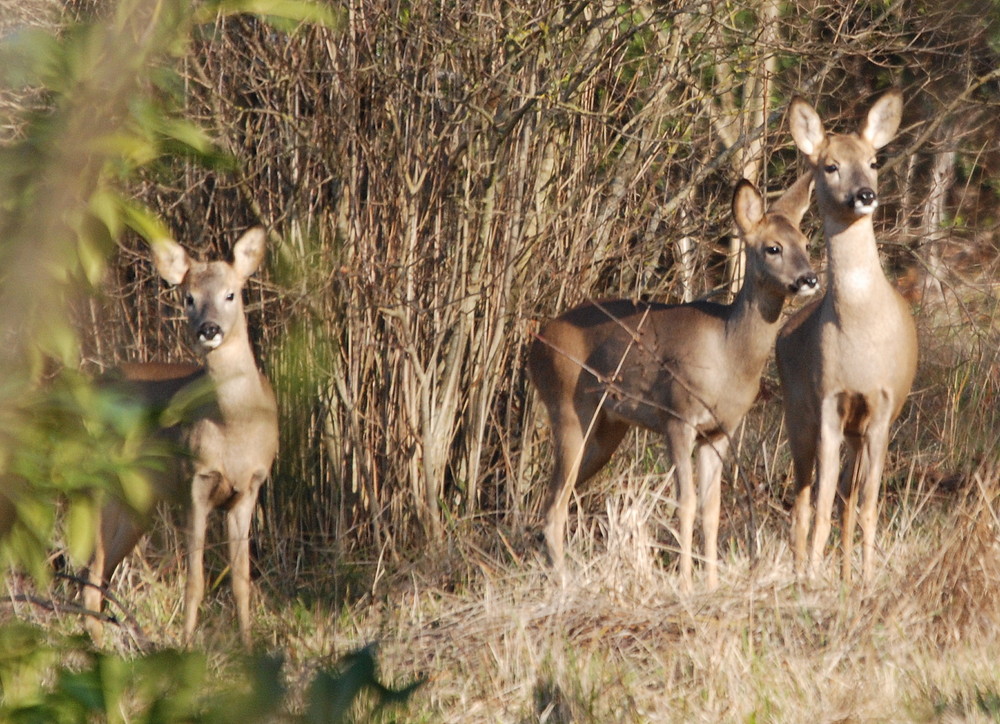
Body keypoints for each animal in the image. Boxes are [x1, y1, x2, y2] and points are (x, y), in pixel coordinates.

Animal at [84, 228, 280, 644]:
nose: (209, 329)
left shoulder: (249, 488)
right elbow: (195, 581)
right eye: (189, 298)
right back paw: (97, 640)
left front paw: (248, 644)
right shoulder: (195, 482)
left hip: (138, 500)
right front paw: (188, 644)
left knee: (101, 571)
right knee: (91, 571)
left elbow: (241, 581)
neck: (234, 427)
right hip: (102, 479)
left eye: (231, 294)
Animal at [528, 178, 816, 592]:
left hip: (607, 430)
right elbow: (686, 503)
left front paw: (711, 584)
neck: (729, 352)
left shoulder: (720, 430)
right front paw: (685, 584)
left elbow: (711, 509)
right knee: (554, 505)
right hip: (566, 407)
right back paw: (568, 584)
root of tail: (533, 346)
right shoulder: (678, 417)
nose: (810, 278)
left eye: (805, 242)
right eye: (772, 247)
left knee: (555, 500)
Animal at [776, 89, 916, 584]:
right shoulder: (827, 403)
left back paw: (847, 569)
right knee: (803, 498)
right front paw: (814, 576)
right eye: (830, 166)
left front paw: (867, 577)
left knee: (849, 500)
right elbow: (819, 505)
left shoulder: (882, 407)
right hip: (795, 414)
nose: (865, 195)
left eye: (874, 161)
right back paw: (801, 568)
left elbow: (868, 504)